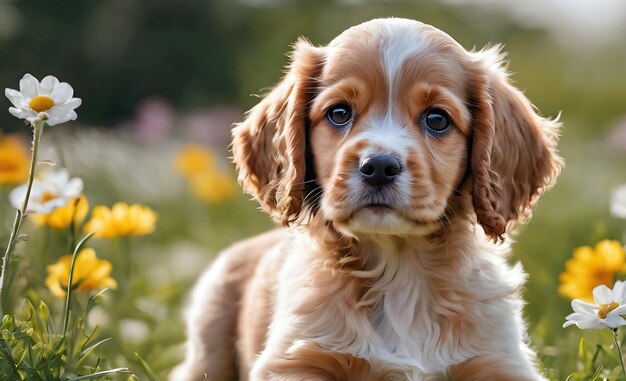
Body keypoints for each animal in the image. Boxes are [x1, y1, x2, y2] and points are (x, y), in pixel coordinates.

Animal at [171, 17, 560, 380]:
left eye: (437, 119)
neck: (398, 267)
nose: (379, 167)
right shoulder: (296, 360)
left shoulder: (500, 359)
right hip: (209, 338)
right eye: (339, 113)